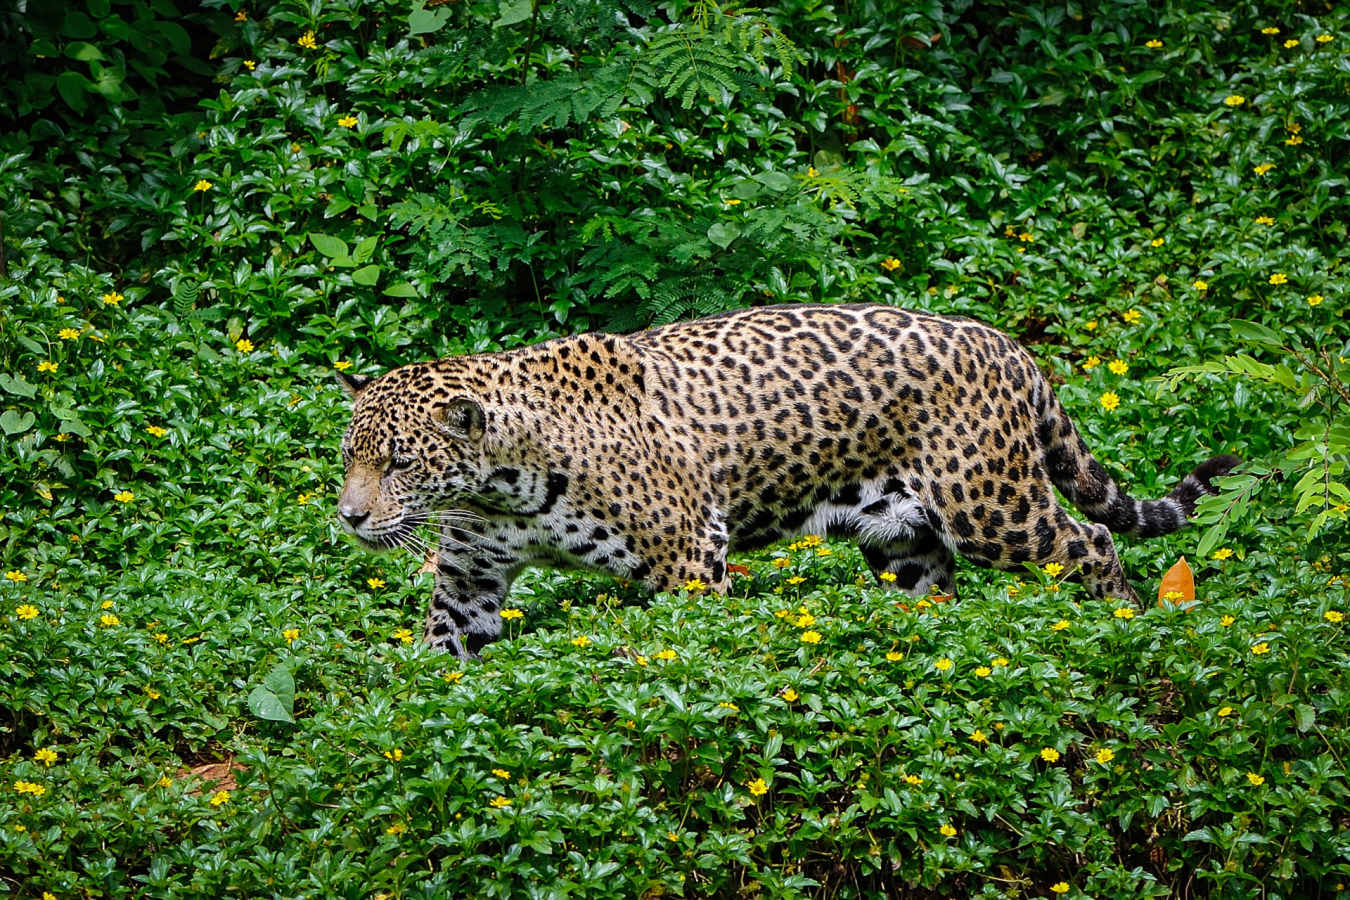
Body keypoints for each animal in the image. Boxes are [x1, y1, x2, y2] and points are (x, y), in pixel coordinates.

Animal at [336, 303, 1237, 657]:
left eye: (400, 462)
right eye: (350, 456)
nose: (348, 517)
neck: (501, 481)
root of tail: (1007, 344)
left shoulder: (688, 558)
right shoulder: (468, 575)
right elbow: (446, 648)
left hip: (992, 502)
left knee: (1092, 539)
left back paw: (1126, 624)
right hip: (902, 534)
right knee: (932, 586)